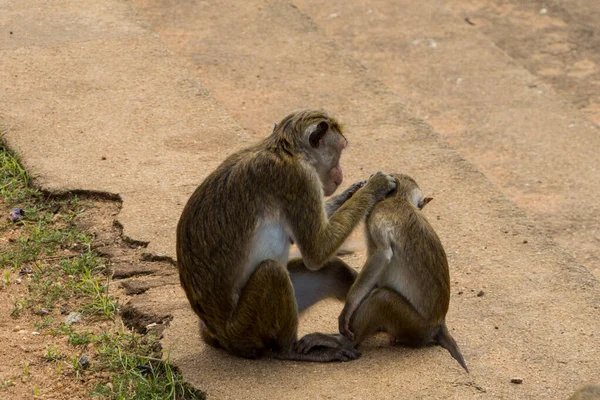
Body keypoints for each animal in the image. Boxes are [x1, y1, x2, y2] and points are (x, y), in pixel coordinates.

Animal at [176, 109, 396, 362]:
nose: (341, 174)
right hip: (246, 329)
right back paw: (291, 349)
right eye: (340, 148)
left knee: (331, 270)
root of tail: (217, 334)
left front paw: (352, 191)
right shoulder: (299, 179)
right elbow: (316, 251)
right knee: (272, 272)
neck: (285, 148)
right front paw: (374, 186)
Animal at [314, 173, 468, 372]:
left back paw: (344, 343)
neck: (399, 199)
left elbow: (382, 255)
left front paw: (348, 309)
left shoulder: (376, 214)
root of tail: (439, 323)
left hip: (415, 325)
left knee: (382, 298)